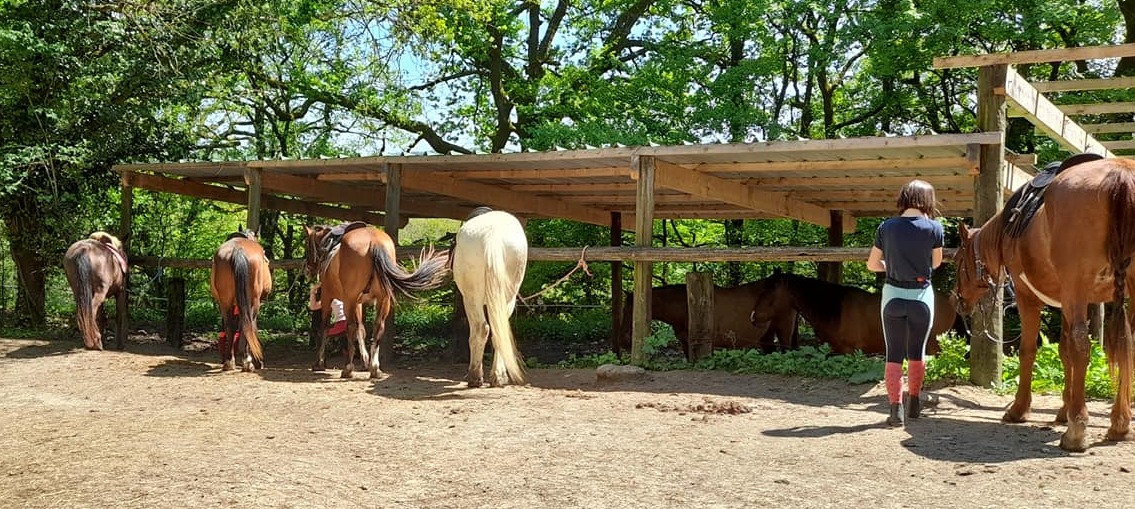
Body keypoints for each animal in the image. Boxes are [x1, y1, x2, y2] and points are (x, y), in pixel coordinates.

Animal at [210, 230, 273, 372]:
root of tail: (238, 250)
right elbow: (253, 328)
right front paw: (258, 361)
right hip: (253, 303)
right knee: (247, 326)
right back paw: (247, 362)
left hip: (225, 302)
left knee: (230, 326)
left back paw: (229, 361)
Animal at [304, 222, 449, 379]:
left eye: (307, 245)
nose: (307, 269)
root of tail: (374, 242)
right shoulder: (359, 303)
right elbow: (361, 329)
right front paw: (365, 362)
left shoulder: (328, 298)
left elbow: (324, 328)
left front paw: (319, 363)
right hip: (383, 299)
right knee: (378, 327)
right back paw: (375, 368)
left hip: (350, 299)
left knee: (350, 327)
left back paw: (348, 368)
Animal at [451, 207, 528, 387]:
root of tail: (493, 234)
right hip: (507, 297)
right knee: (499, 331)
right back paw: (498, 377)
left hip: (472, 297)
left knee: (480, 328)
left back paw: (474, 377)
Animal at [619, 283, 799, 357]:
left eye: (629, 309)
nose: (624, 341)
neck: (686, 305)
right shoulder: (685, 342)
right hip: (766, 334)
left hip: (784, 331)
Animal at [953, 155, 1135, 452]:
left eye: (958, 261)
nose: (956, 300)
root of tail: (1121, 174)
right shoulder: (1067, 303)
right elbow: (1065, 352)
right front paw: (1063, 410)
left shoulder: (1029, 298)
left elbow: (1029, 351)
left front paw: (1019, 409)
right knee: (1126, 346)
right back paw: (1119, 424)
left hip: (1076, 287)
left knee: (1083, 345)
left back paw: (1077, 432)